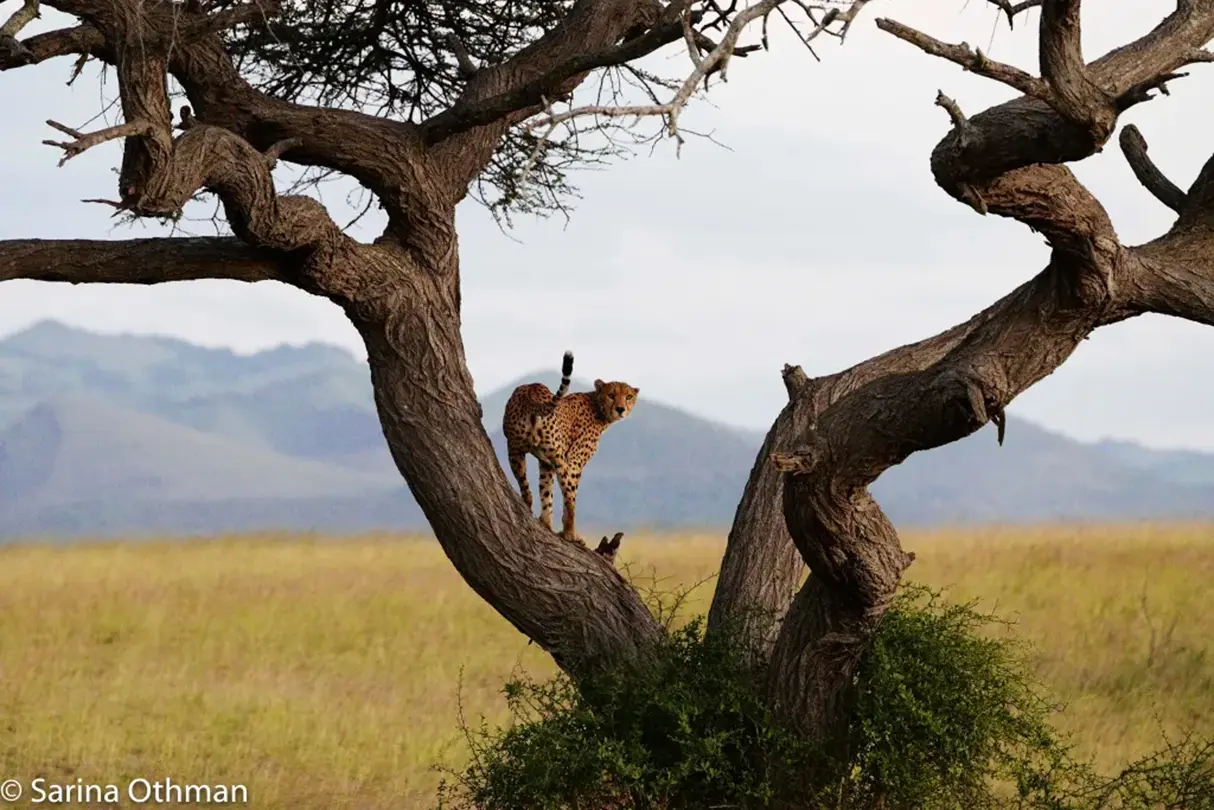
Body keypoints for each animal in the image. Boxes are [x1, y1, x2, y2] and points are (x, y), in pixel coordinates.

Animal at [502, 350, 639, 544]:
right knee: (569, 499)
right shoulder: (574, 461)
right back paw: (571, 534)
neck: (598, 406)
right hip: (560, 460)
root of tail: (531, 389)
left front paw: (546, 523)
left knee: (526, 489)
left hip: (515, 450)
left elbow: (546, 492)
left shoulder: (546, 462)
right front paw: (564, 531)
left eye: (628, 397)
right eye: (611, 395)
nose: (620, 409)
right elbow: (568, 499)